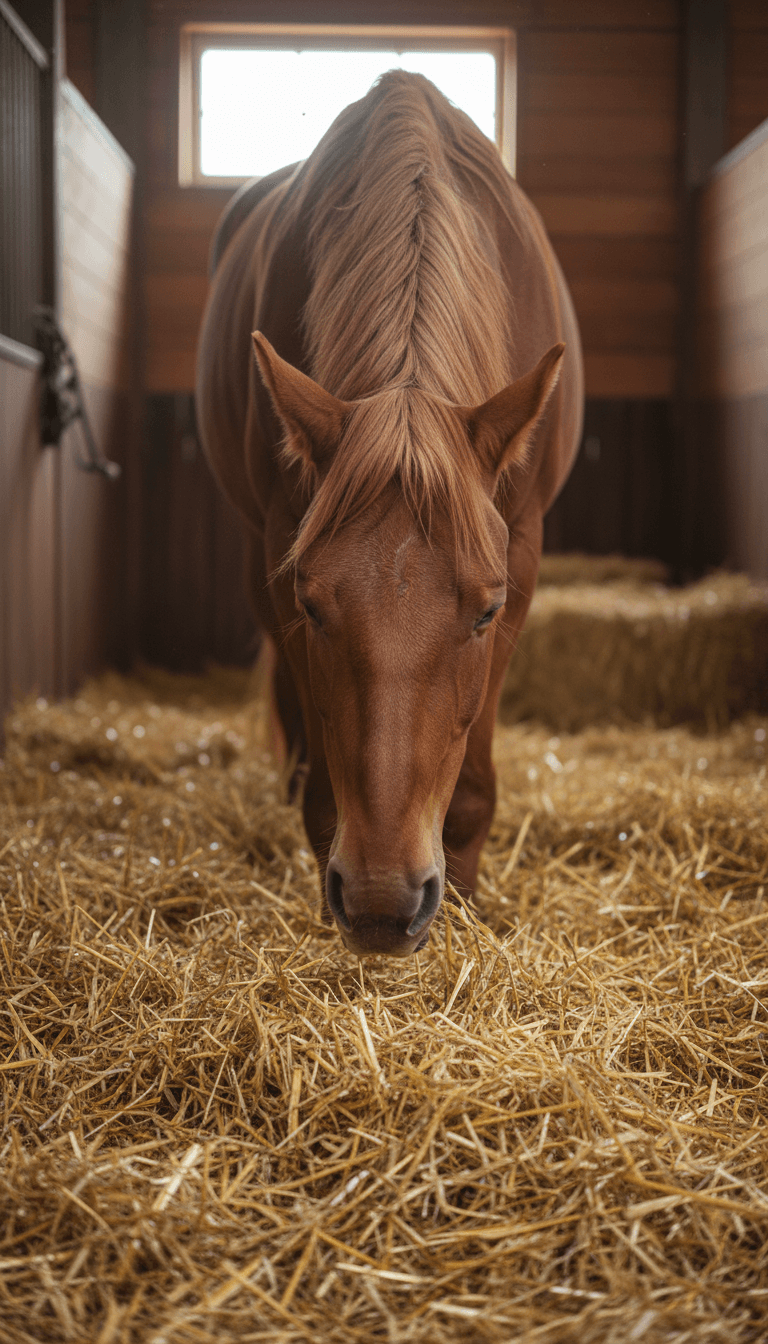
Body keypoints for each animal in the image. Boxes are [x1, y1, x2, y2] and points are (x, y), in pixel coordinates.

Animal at [196, 71, 583, 957]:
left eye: (485, 613)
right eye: (312, 605)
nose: (381, 901)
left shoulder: (521, 552)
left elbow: (472, 777)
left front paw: (466, 897)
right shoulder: (281, 543)